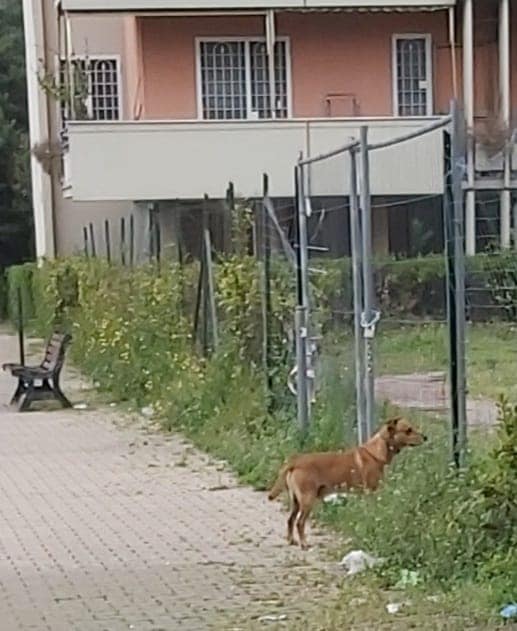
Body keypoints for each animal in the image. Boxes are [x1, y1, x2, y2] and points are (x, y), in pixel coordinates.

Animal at [268, 414, 426, 548]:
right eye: (408, 430)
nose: (425, 437)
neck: (377, 450)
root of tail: (295, 461)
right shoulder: (371, 492)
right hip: (307, 500)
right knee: (299, 523)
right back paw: (304, 543)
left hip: (296, 501)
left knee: (290, 520)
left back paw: (291, 540)